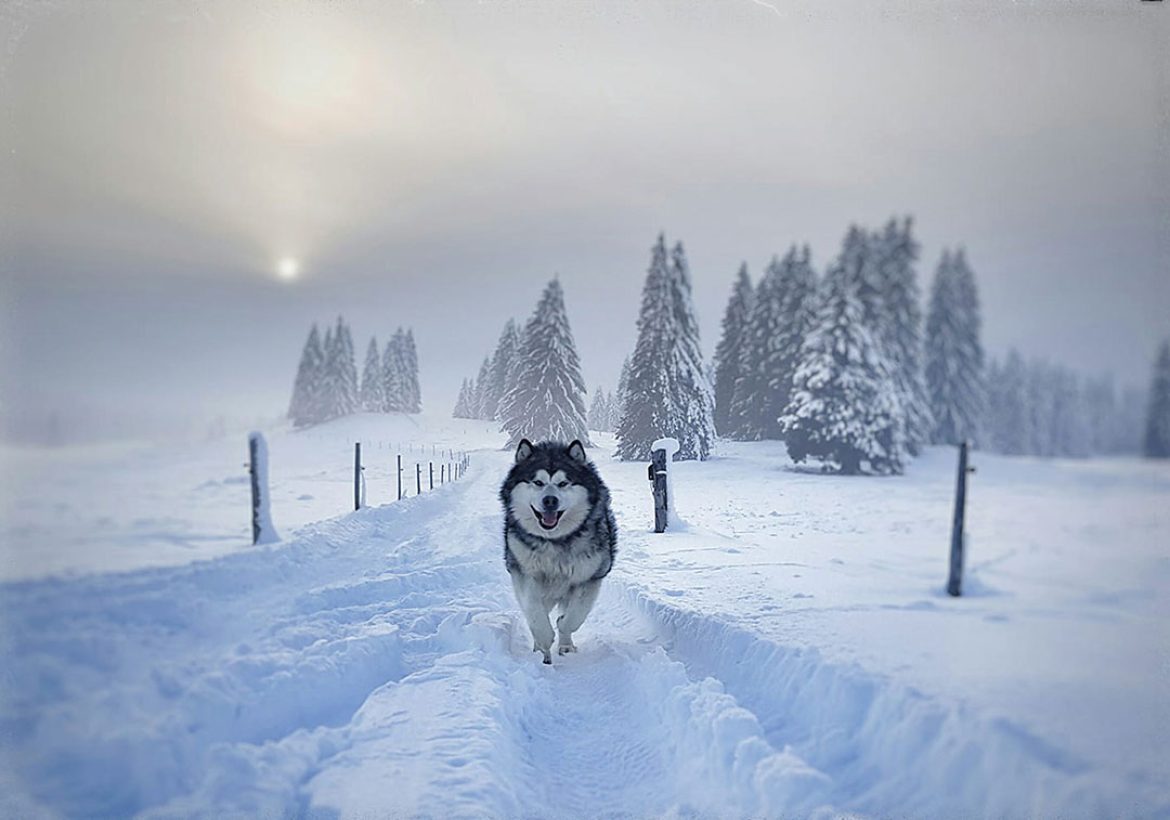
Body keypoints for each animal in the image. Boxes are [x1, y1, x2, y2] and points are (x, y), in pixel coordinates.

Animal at [498, 437, 617, 664]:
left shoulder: (589, 577)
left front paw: (563, 634)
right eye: (538, 482)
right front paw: (543, 640)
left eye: (563, 483)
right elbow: (534, 612)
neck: (554, 541)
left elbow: (573, 617)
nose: (550, 500)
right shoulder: (526, 574)